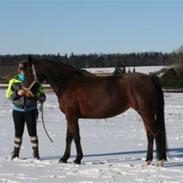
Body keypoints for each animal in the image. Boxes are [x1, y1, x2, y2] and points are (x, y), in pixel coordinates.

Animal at [24, 55, 167, 164]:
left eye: (28, 72)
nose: (25, 92)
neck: (68, 83)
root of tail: (150, 78)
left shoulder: (71, 116)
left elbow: (76, 136)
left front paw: (77, 159)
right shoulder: (70, 116)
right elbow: (69, 137)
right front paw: (64, 158)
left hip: (146, 112)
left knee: (155, 132)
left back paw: (159, 161)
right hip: (145, 113)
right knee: (150, 134)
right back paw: (148, 160)